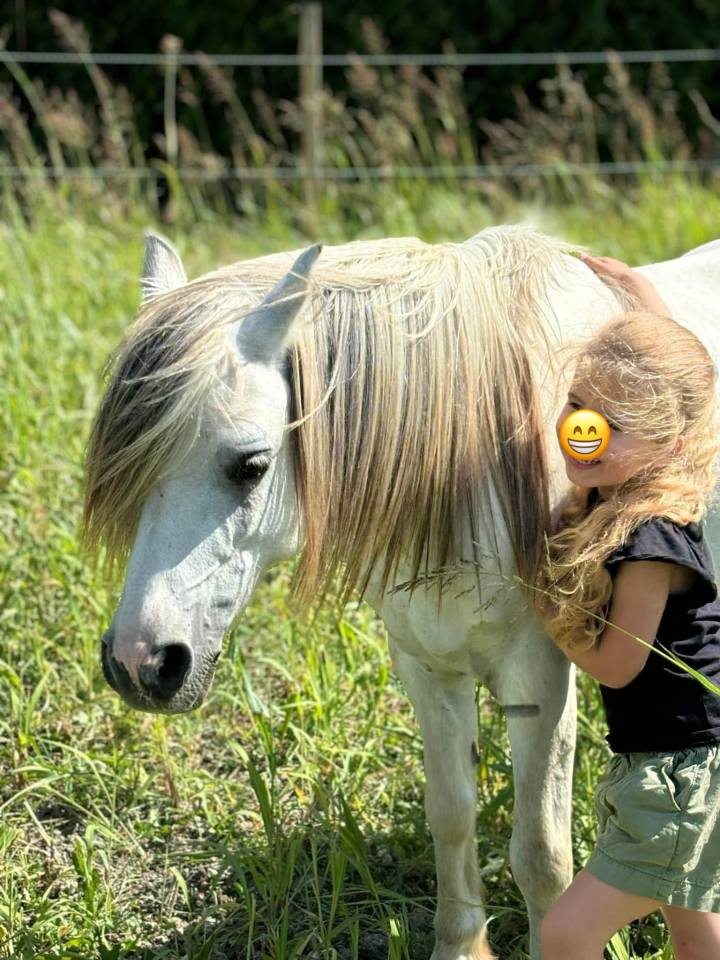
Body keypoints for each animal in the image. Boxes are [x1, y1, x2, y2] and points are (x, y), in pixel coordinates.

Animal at [82, 225, 720, 960]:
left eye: (252, 465)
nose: (140, 664)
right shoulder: (428, 668)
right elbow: (451, 816)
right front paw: (461, 946)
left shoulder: (540, 682)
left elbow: (540, 854)